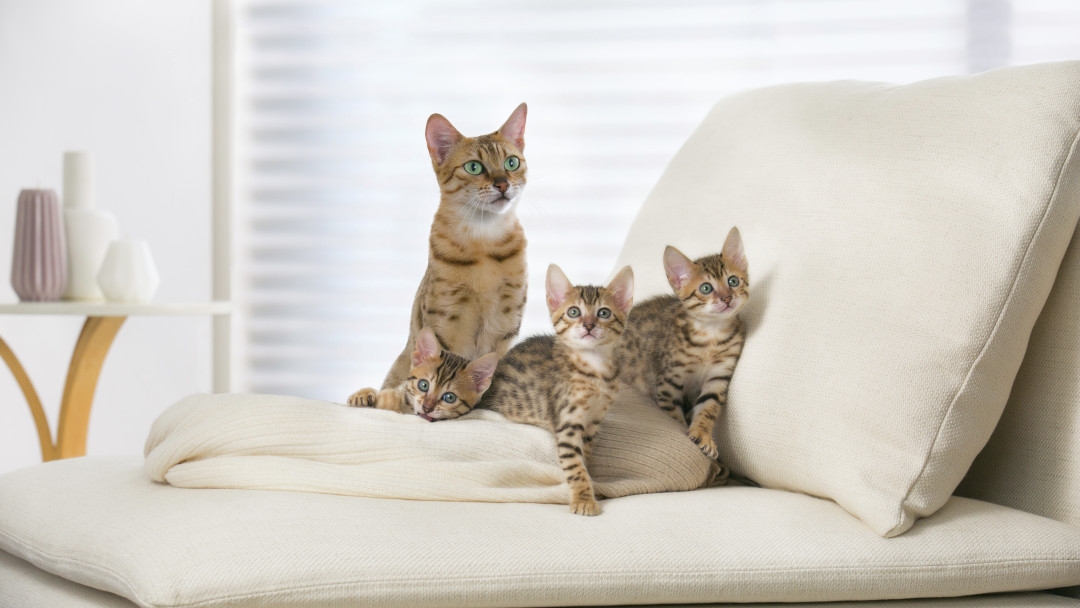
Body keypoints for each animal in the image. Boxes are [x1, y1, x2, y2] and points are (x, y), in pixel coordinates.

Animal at [347, 103, 529, 408]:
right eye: (474, 166)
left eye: (512, 163)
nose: (503, 184)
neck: (484, 245)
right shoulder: (445, 318)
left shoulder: (507, 322)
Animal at [479, 264, 630, 516]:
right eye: (574, 312)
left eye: (603, 313)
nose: (589, 325)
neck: (595, 369)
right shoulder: (567, 423)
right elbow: (575, 466)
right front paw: (583, 499)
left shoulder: (593, 423)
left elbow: (585, 458)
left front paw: (590, 483)